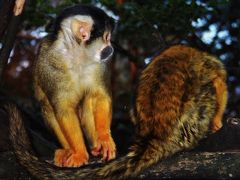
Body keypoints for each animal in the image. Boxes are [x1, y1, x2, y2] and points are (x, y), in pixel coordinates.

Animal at [5, 4, 227, 180]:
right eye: (106, 38)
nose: (110, 47)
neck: (76, 54)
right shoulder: (49, 63)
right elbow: (63, 109)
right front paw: (79, 153)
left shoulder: (99, 64)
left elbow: (101, 96)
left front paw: (105, 139)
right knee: (48, 106)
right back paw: (68, 150)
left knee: (87, 100)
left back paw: (96, 146)